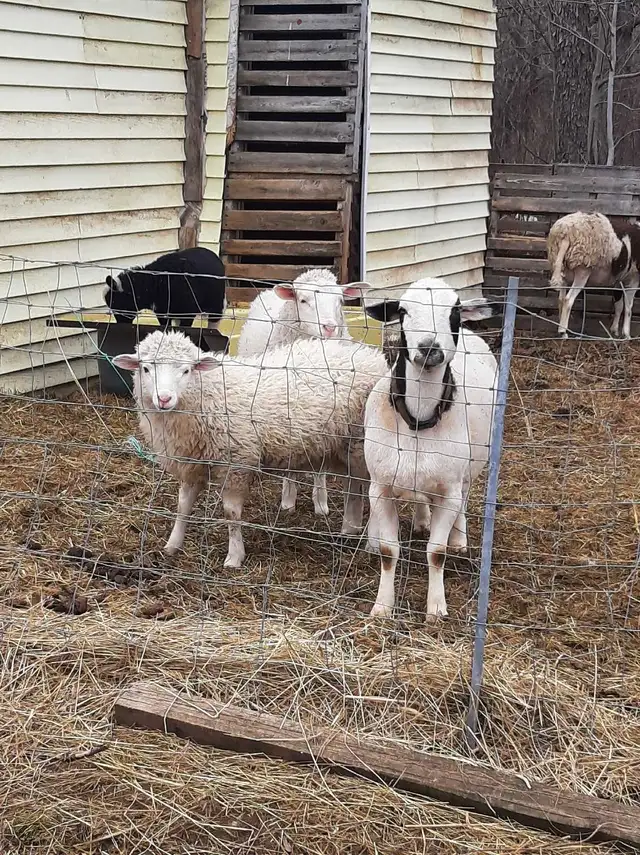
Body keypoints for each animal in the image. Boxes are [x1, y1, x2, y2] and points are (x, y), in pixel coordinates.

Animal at [113, 329, 388, 568]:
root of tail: (372, 355)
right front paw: (172, 545)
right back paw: (349, 530)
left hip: (363, 443)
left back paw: (371, 543)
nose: (164, 399)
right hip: (345, 445)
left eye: (186, 370)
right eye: (146, 368)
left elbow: (231, 514)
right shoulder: (192, 463)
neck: (210, 394)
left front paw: (234, 557)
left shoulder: (237, 464)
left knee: (371, 493)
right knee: (354, 487)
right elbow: (183, 506)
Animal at [236, 268, 370, 518]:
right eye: (303, 300)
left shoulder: (330, 418)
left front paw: (321, 502)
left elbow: (321, 468)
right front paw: (288, 500)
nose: (329, 327)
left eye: (340, 301)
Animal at [363, 278, 497, 621]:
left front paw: (436, 608)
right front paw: (382, 607)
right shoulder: (379, 488)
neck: (418, 420)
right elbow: (388, 552)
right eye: (402, 311)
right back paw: (422, 520)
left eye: (454, 312)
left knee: (464, 499)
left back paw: (459, 539)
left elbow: (436, 553)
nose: (429, 348)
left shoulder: (448, 489)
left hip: (470, 467)